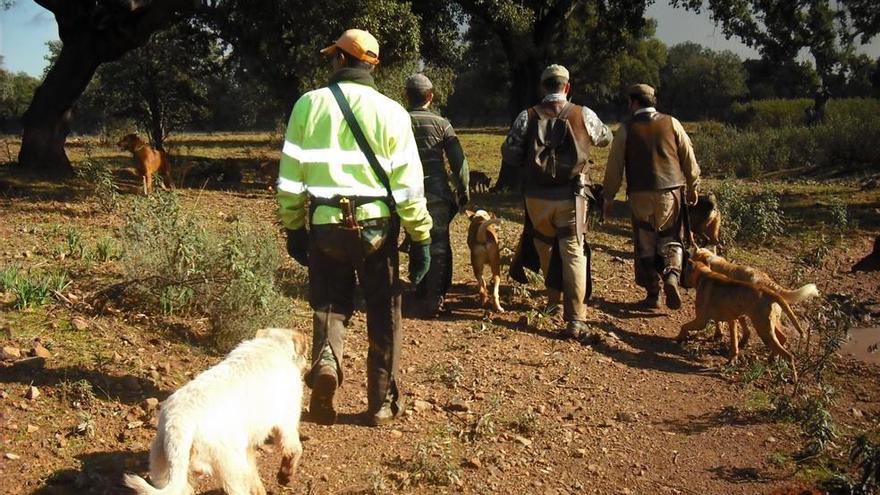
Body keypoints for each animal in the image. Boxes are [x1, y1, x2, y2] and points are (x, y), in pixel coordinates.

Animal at [124, 330, 310, 495]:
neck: (271, 344)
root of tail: (177, 424)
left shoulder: (248, 445)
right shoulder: (286, 423)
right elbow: (295, 450)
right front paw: (285, 476)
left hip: (163, 466)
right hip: (232, 468)